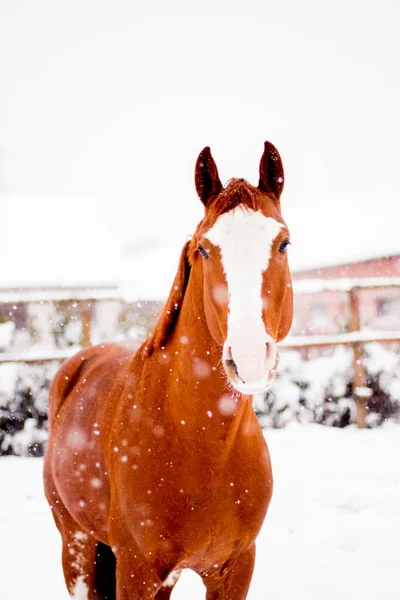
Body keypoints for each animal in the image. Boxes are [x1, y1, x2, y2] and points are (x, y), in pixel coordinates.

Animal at [44, 142, 294, 600]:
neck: (204, 443)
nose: (250, 356)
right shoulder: (136, 570)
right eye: (204, 249)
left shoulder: (235, 569)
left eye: (283, 243)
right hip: (77, 547)